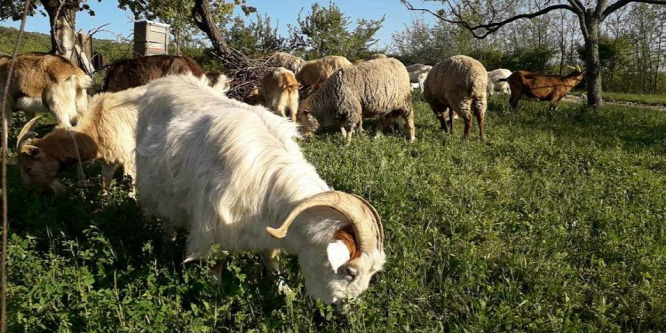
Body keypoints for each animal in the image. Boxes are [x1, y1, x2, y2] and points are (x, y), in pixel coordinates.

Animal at [16, 85, 146, 193]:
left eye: (28, 168)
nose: (28, 188)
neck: (97, 126)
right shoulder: (110, 159)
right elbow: (105, 181)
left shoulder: (128, 157)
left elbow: (130, 182)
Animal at [134, 75, 384, 304]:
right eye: (350, 271)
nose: (345, 309)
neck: (271, 182)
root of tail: (162, 83)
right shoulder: (214, 227)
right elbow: (216, 264)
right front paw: (215, 296)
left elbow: (270, 257)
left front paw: (285, 291)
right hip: (153, 185)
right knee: (165, 214)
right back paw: (169, 241)